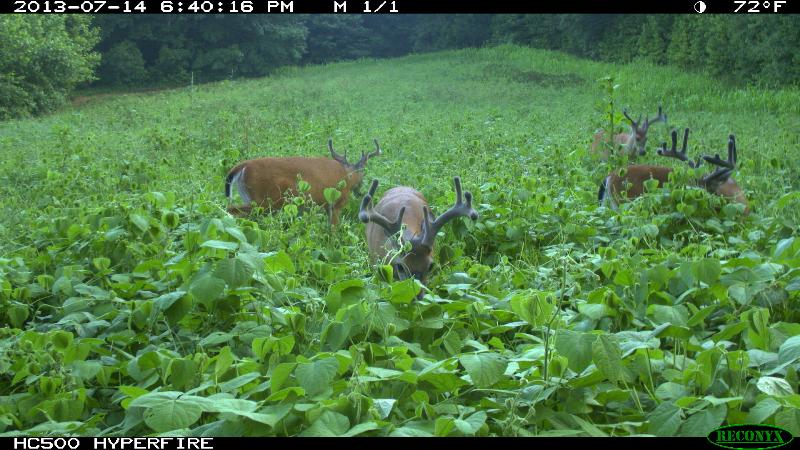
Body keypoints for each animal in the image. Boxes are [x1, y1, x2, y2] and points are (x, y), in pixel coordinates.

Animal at [225, 139, 384, 225]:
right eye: (364, 174)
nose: (360, 191)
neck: (346, 177)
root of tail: (242, 167)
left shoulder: (325, 207)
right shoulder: (336, 204)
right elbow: (333, 229)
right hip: (262, 200)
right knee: (232, 209)